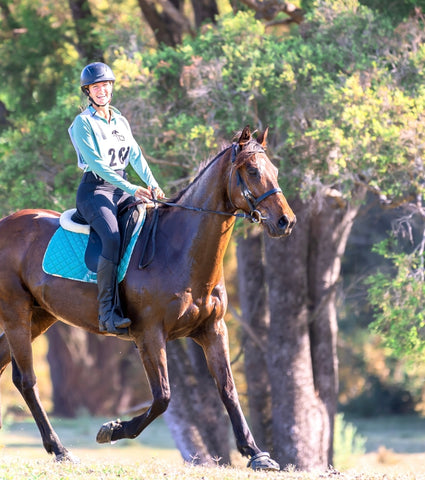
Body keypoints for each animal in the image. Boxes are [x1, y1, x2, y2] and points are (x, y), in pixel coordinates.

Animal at [0, 125, 294, 470]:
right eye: (252, 170)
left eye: (274, 171)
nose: (286, 221)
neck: (179, 250)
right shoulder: (149, 335)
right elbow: (163, 397)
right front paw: (112, 429)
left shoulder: (212, 331)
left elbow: (228, 390)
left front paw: (256, 453)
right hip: (16, 313)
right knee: (27, 380)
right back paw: (60, 450)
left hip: (40, 315)